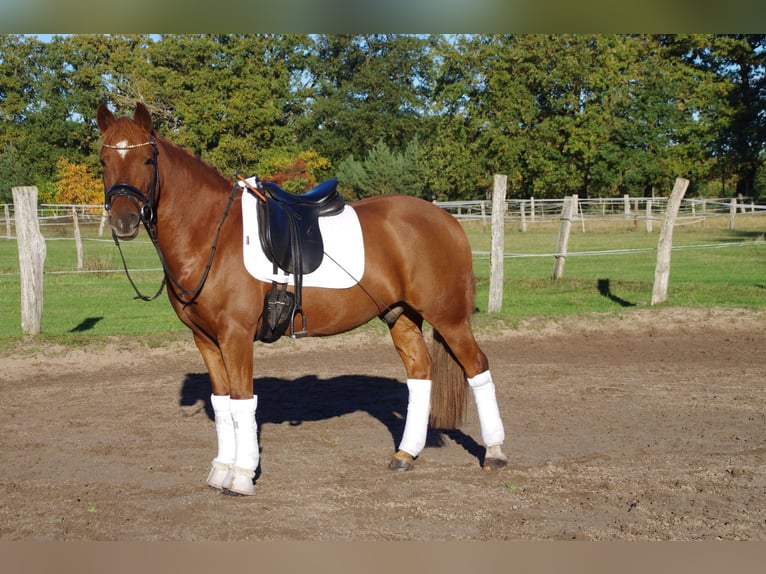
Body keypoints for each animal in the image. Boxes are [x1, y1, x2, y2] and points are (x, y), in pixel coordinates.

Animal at [97, 102, 508, 496]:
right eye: (103, 160)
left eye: (147, 160)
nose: (124, 219)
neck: (213, 233)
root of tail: (446, 219)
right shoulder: (206, 340)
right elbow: (223, 403)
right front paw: (220, 470)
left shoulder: (236, 336)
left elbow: (243, 402)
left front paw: (241, 476)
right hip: (401, 316)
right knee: (420, 373)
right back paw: (405, 454)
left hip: (449, 318)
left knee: (477, 366)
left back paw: (495, 453)